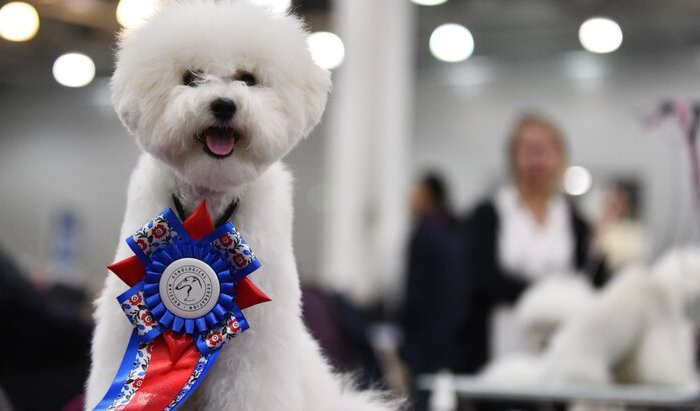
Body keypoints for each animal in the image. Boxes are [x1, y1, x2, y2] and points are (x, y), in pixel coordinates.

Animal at [85, 1, 396, 410]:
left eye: (247, 79)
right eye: (192, 77)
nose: (223, 105)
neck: (207, 211)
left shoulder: (257, 347)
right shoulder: (125, 324)